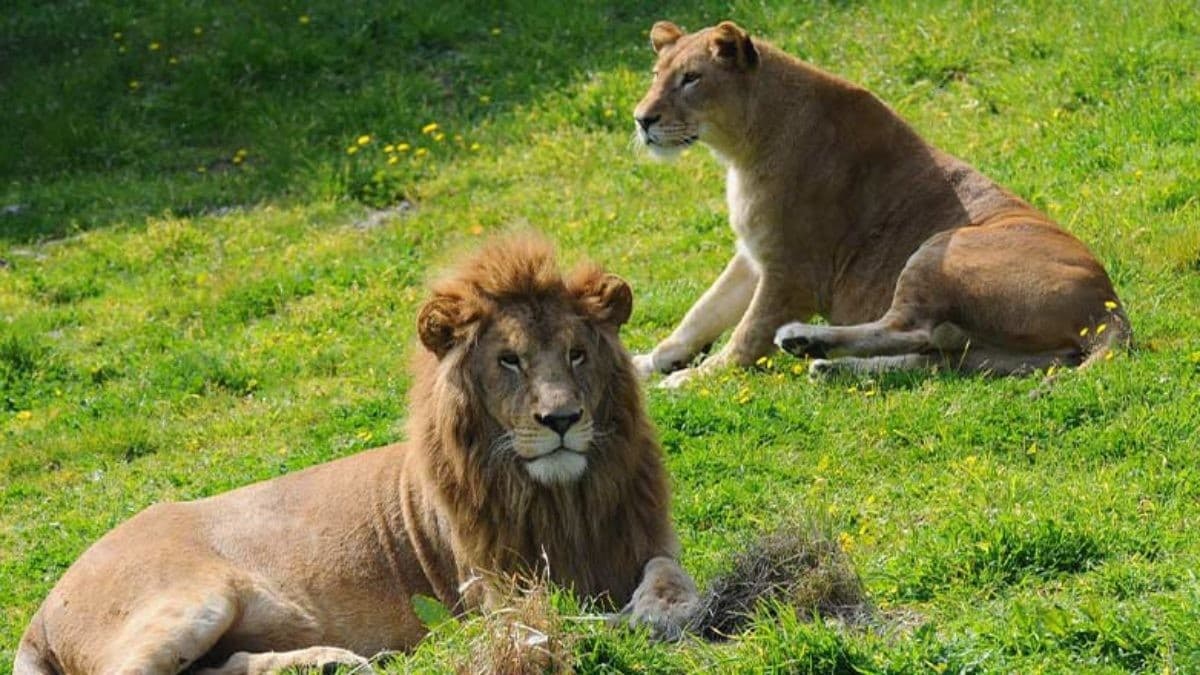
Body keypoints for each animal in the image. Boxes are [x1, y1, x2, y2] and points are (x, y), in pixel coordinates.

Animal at [15, 235, 698, 675]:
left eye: (578, 354)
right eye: (509, 361)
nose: (561, 420)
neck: (564, 498)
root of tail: (43, 608)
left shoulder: (644, 538)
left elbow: (670, 577)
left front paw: (660, 612)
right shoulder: (494, 586)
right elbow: (548, 617)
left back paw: (327, 665)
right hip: (188, 603)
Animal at [631, 20, 1130, 386]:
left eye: (691, 79)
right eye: (657, 76)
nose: (641, 119)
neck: (741, 147)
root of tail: (1109, 307)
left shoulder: (794, 272)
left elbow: (747, 334)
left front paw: (692, 380)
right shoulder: (752, 256)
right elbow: (700, 314)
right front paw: (646, 363)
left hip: (943, 246)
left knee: (911, 327)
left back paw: (805, 341)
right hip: (989, 352)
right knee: (934, 356)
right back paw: (827, 365)